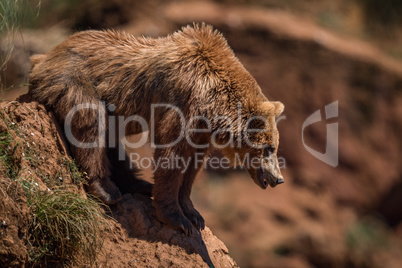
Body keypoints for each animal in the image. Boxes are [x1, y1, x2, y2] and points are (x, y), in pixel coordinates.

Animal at [28, 24, 284, 236]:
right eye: (269, 148)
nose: (278, 179)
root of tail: (43, 56)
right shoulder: (183, 105)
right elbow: (171, 158)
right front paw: (178, 220)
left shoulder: (200, 129)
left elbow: (192, 166)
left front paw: (194, 214)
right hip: (76, 81)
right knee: (92, 124)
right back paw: (107, 190)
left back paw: (139, 185)